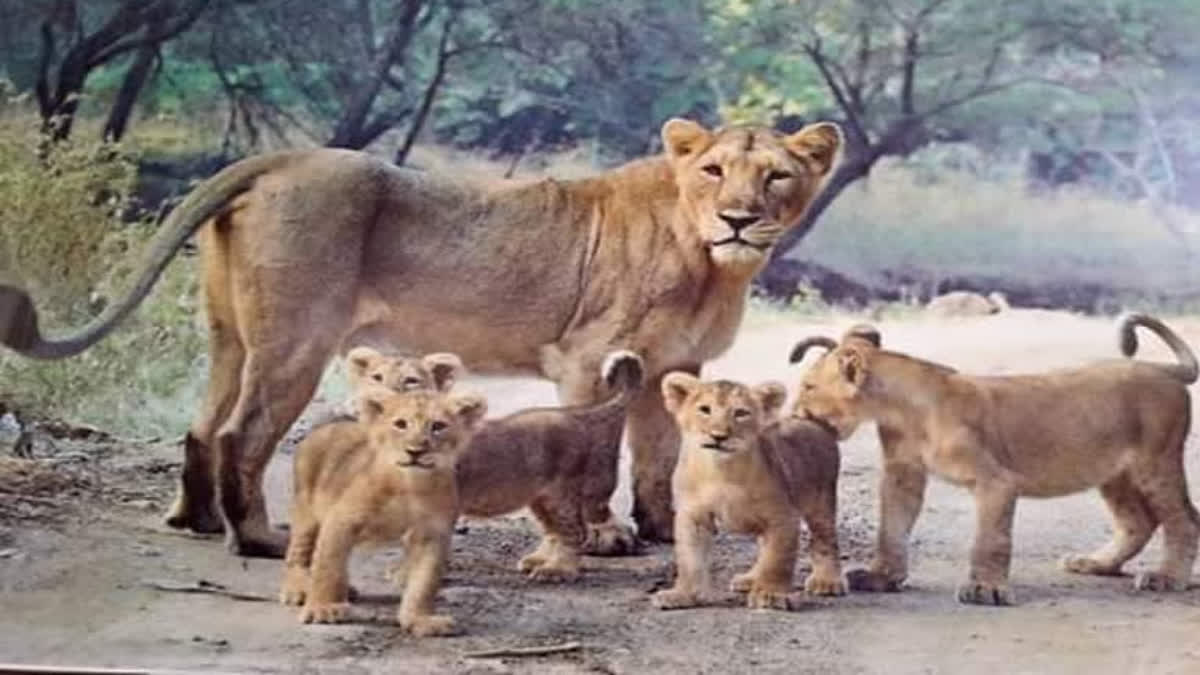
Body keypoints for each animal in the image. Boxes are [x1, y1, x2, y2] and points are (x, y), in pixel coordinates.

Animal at [0, 117, 843, 558]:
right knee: (244, 431)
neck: (711, 261)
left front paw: (665, 530)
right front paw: (605, 536)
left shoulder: (678, 361)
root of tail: (278, 157)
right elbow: (600, 455)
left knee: (203, 424)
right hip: (297, 339)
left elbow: (661, 459)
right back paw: (259, 537)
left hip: (230, 336)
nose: (739, 217)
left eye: (775, 176)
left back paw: (197, 521)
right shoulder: (588, 359)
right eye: (713, 171)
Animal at [279, 386, 486, 635]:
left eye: (438, 426)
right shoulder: (341, 519)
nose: (415, 451)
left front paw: (420, 619)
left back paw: (345, 590)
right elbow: (327, 565)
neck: (411, 485)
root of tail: (328, 426)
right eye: (401, 424)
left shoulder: (433, 534)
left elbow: (424, 582)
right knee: (300, 553)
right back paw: (299, 589)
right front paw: (322, 607)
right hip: (307, 511)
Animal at [652, 372, 843, 611]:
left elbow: (777, 559)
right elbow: (689, 559)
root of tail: (810, 421)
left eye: (741, 413)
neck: (720, 471)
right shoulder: (692, 516)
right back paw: (750, 579)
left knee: (825, 541)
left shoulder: (782, 516)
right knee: (764, 546)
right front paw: (682, 594)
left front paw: (770, 594)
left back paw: (827, 581)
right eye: (704, 409)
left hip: (821, 502)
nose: (719, 436)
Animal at [790, 313, 1200, 606]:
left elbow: (990, 539)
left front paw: (985, 589)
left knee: (1183, 519)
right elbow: (891, 528)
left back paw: (1167, 578)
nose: (792, 413)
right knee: (1138, 522)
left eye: (808, 386)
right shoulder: (902, 475)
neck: (901, 410)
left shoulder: (996, 480)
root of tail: (1161, 368)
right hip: (1114, 474)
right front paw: (881, 577)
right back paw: (1095, 563)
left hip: (1156, 462)